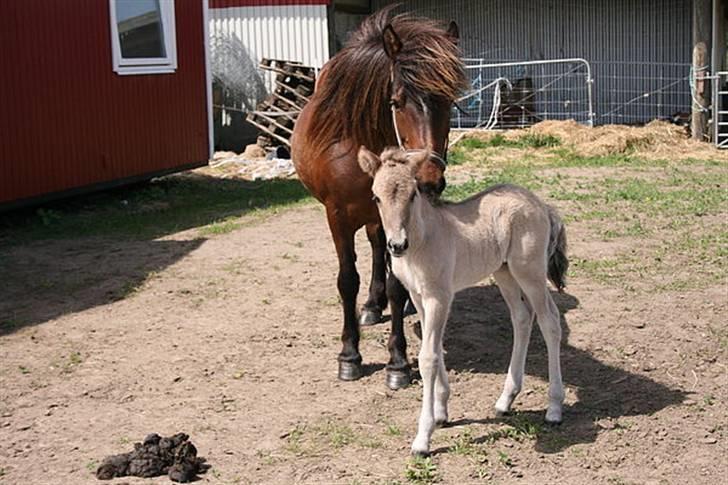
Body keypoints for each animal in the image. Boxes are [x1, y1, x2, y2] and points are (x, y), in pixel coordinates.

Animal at [290, 5, 466, 388]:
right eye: (396, 102)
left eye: (450, 101)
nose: (429, 180)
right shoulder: (337, 216)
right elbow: (347, 280)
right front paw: (349, 355)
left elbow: (396, 283)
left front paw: (397, 362)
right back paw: (371, 306)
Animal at [358, 147, 568, 454]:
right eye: (376, 197)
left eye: (413, 195)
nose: (396, 245)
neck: (422, 240)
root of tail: (541, 204)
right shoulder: (419, 297)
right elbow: (434, 346)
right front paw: (442, 412)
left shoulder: (439, 297)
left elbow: (429, 357)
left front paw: (423, 438)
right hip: (504, 272)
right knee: (522, 317)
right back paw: (505, 401)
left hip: (530, 272)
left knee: (549, 322)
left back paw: (554, 409)